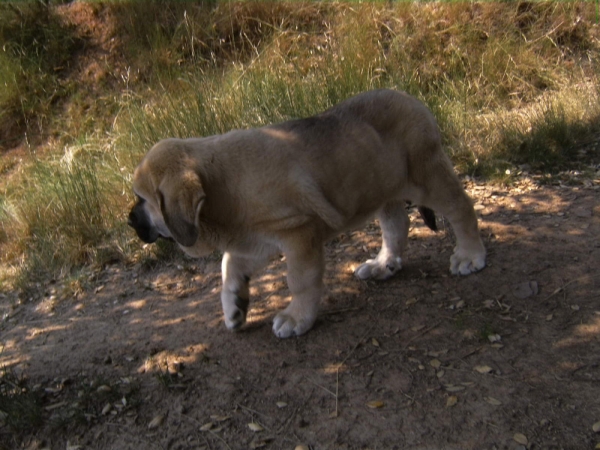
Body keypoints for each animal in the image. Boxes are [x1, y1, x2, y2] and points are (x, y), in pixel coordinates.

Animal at [129, 89, 486, 338]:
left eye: (142, 199)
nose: (129, 220)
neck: (221, 186)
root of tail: (411, 98)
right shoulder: (256, 241)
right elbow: (228, 265)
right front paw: (234, 307)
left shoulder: (299, 233)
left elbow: (299, 280)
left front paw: (296, 317)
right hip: (381, 188)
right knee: (397, 225)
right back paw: (383, 264)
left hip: (426, 175)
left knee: (461, 208)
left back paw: (469, 255)